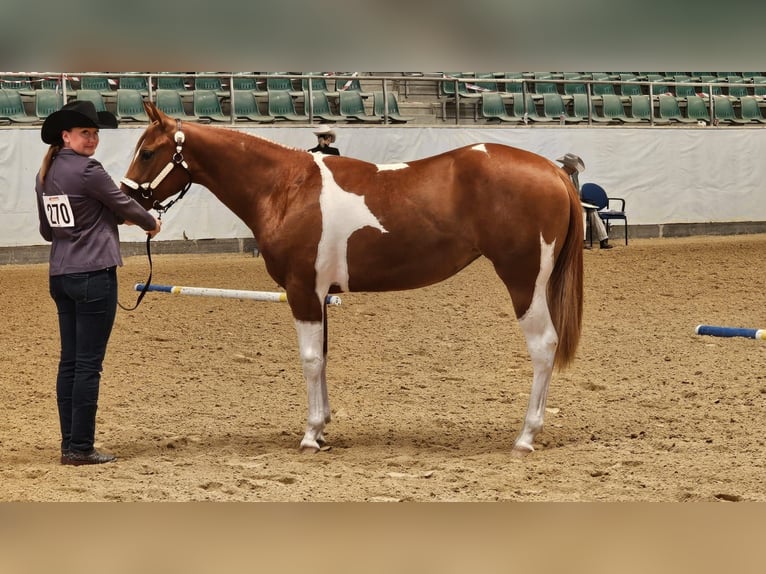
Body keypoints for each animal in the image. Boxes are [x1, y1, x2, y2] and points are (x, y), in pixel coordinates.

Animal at [120, 103, 584, 456]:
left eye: (148, 153)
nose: (125, 199)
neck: (287, 188)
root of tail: (552, 170)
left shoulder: (302, 292)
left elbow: (309, 360)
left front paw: (310, 435)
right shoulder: (319, 296)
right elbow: (323, 358)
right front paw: (323, 427)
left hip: (523, 281)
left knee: (544, 346)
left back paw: (525, 437)